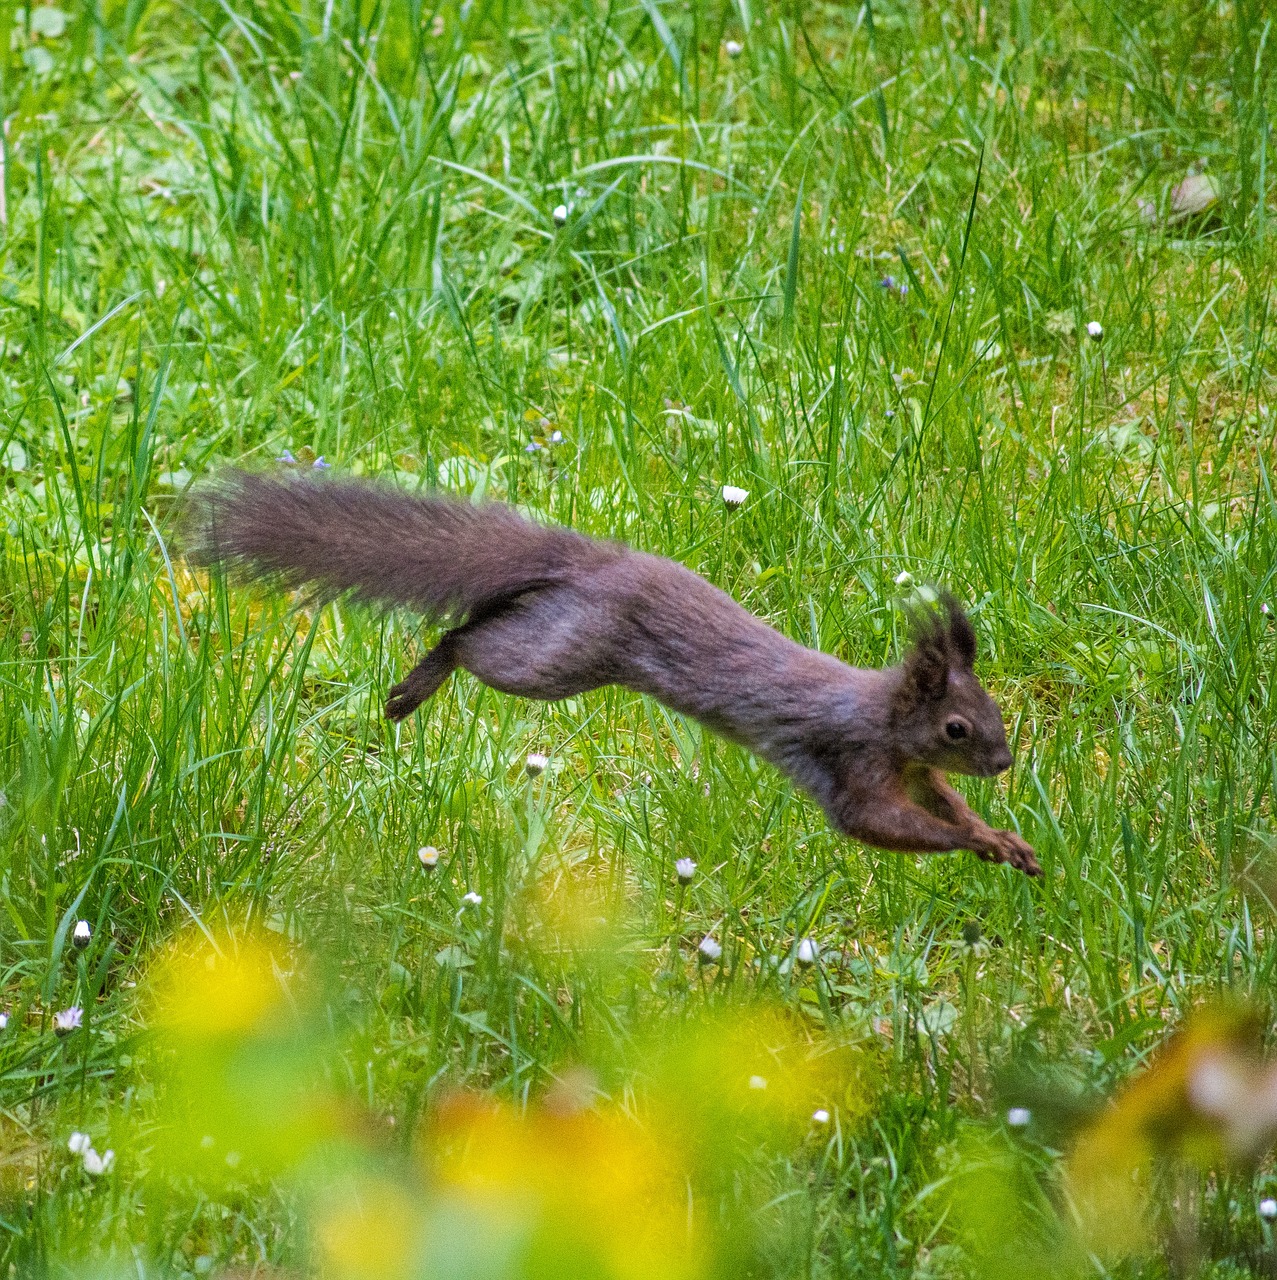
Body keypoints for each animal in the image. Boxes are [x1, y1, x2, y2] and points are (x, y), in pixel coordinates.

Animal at [191, 471, 1049, 880]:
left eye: (990, 710)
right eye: (957, 727)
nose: (1003, 761)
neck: (880, 714)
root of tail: (594, 564)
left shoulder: (907, 769)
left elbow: (937, 801)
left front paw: (996, 838)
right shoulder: (851, 763)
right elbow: (874, 824)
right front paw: (968, 843)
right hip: (556, 658)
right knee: (468, 639)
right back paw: (419, 682)